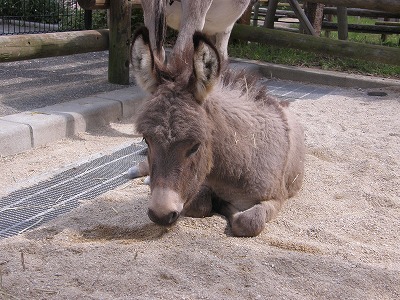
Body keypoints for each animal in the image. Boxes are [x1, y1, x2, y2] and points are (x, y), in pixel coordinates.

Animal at [130, 27, 304, 237]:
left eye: (196, 146)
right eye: (146, 140)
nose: (160, 215)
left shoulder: (276, 198)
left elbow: (248, 222)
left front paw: (226, 207)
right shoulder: (201, 182)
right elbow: (200, 204)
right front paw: (219, 204)